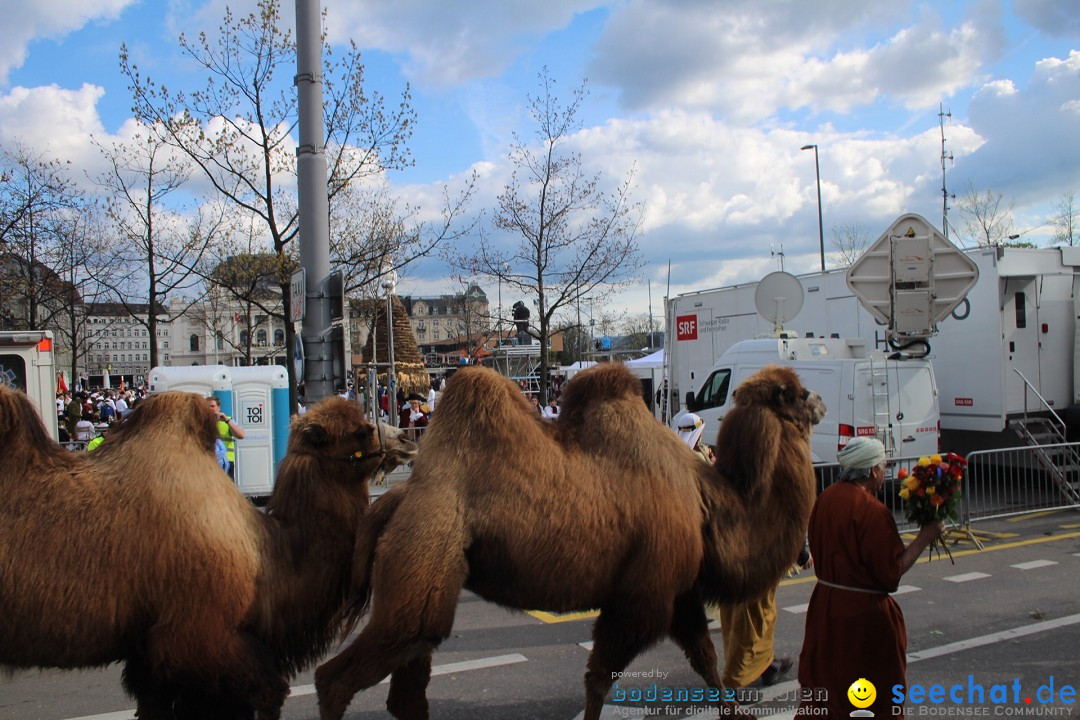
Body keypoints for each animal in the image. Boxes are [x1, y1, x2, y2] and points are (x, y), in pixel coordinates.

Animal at [0, 388, 416, 720]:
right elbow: (270, 693)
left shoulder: (149, 656)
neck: (264, 555)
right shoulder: (196, 634)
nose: (407, 441)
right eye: (361, 430)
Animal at [315, 362, 820, 720]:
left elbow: (708, 665)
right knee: (333, 678)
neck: (706, 504)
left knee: (406, 692)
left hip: (423, 576)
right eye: (795, 393)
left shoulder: (679, 596)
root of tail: (397, 497)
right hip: (423, 556)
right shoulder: (643, 598)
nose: (819, 400)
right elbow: (598, 680)